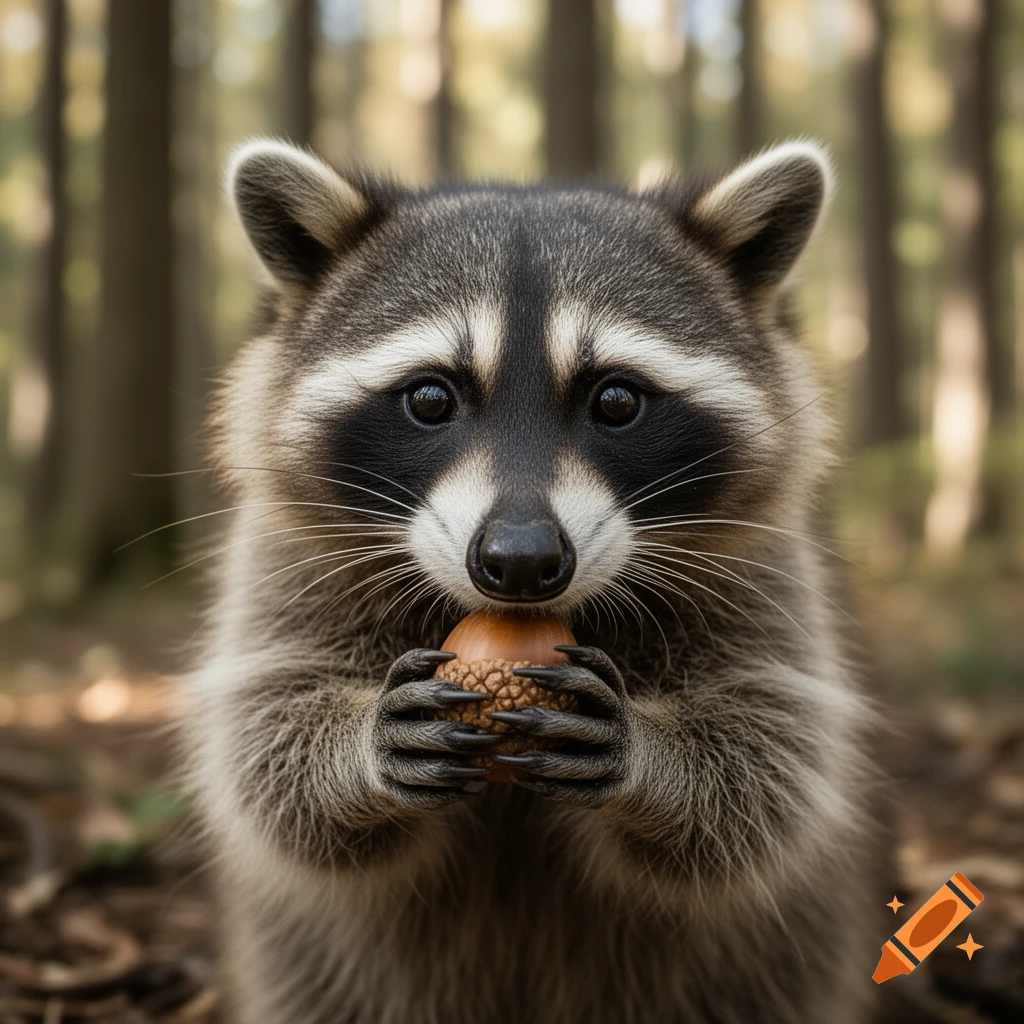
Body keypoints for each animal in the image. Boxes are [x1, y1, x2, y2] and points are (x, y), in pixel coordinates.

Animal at [187, 138, 877, 1024]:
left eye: (616, 399)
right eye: (430, 397)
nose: (518, 561)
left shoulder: (759, 563)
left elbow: (772, 741)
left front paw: (651, 753)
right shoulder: (288, 552)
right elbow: (264, 726)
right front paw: (359, 746)